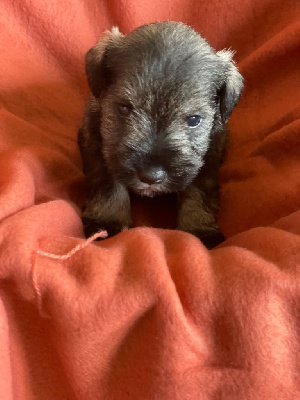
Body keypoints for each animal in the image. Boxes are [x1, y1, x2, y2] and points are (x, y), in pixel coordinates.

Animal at [78, 21, 244, 248]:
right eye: (123, 108)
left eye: (194, 120)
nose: (151, 176)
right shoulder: (99, 143)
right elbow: (108, 183)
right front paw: (106, 222)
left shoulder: (208, 155)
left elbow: (199, 191)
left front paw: (199, 229)